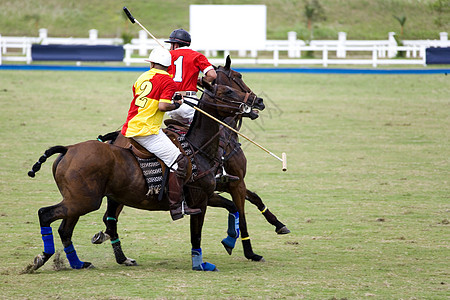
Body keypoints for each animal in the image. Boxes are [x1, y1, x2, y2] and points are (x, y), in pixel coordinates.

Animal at [27, 81, 253, 272]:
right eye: (228, 90)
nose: (255, 102)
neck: (198, 148)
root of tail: (68, 149)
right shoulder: (199, 200)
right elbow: (196, 235)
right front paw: (200, 264)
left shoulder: (208, 195)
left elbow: (232, 207)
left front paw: (230, 241)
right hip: (85, 200)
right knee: (45, 214)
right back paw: (41, 259)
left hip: (79, 199)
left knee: (67, 229)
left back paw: (80, 263)